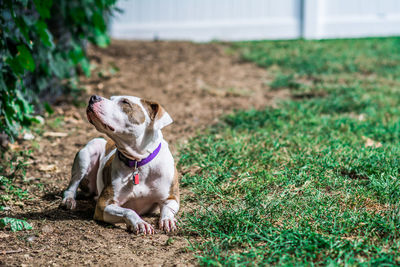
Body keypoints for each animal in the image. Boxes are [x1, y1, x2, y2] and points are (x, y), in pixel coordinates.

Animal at [61, 96, 180, 234]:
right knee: (73, 185)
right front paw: (139, 222)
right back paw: (69, 200)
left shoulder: (172, 198)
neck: (138, 162)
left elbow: (167, 209)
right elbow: (128, 211)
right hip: (86, 154)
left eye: (125, 102)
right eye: (111, 98)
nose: (93, 97)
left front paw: (168, 220)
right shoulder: (103, 206)